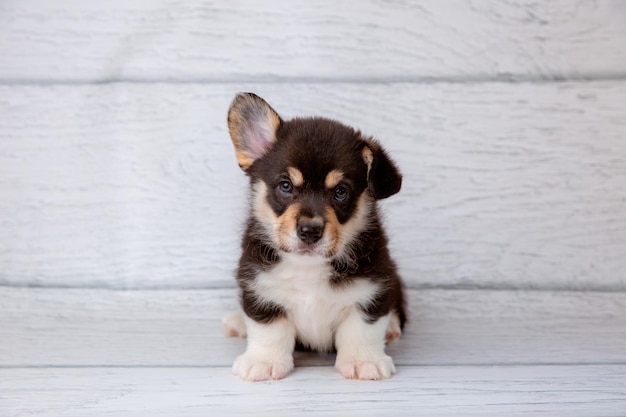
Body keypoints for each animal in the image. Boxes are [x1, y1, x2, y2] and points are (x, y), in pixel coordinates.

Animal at [222, 92, 408, 380]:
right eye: (285, 186)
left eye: (341, 192)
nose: (310, 231)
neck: (308, 265)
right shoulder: (259, 288)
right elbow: (268, 330)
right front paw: (263, 362)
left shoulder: (372, 289)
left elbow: (361, 330)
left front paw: (363, 361)